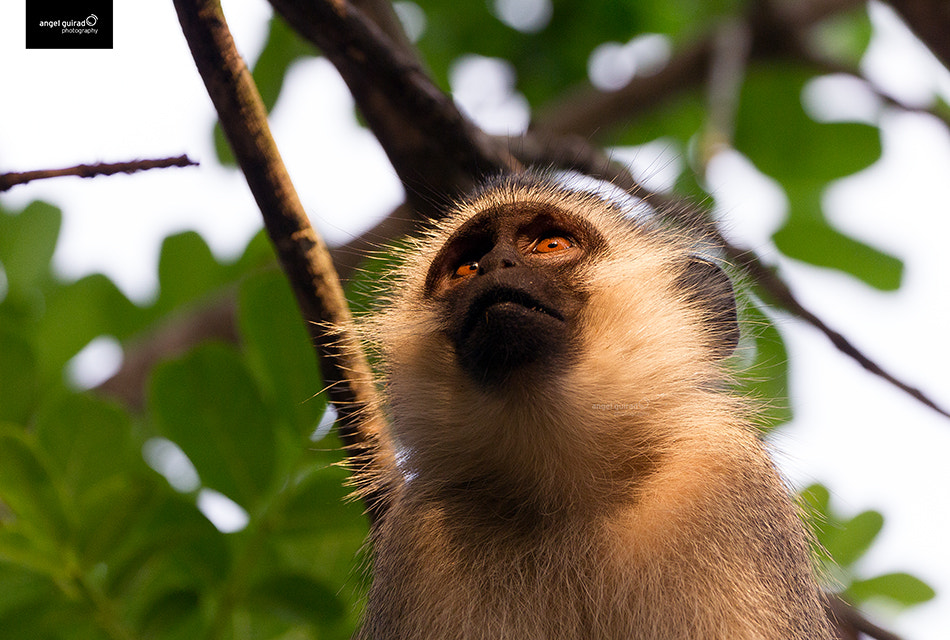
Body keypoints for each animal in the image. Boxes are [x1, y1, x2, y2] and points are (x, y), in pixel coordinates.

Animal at [353, 172, 834, 639]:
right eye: (467, 267)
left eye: (551, 245)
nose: (492, 266)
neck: (561, 482)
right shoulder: (421, 535)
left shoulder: (723, 477)